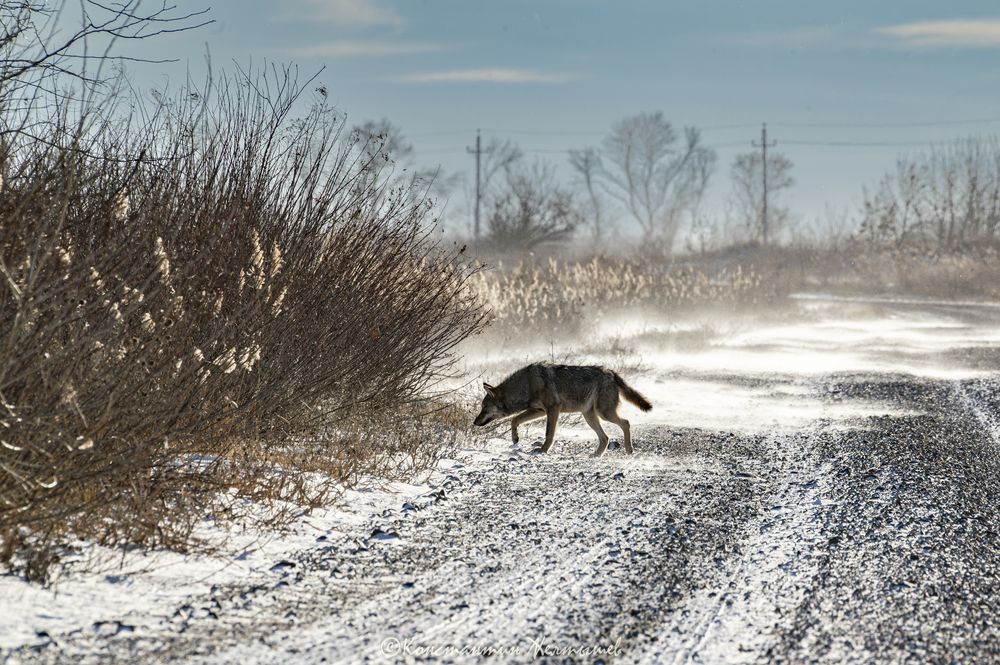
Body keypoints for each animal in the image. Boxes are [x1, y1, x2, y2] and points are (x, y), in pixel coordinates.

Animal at [472, 363, 652, 457]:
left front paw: (543, 450)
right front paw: (515, 439)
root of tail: (610, 372)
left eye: (483, 408)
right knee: (605, 437)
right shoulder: (539, 411)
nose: (474, 422)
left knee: (626, 423)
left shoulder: (553, 409)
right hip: (590, 416)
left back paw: (629, 450)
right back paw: (596, 455)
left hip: (604, 414)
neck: (526, 385)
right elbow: (514, 419)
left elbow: (548, 434)